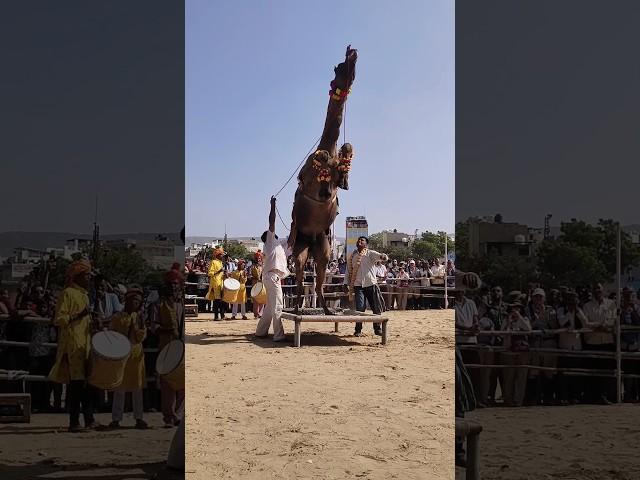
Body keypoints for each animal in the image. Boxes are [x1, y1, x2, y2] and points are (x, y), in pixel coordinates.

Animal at [288, 45, 358, 316]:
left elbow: (347, 154)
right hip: (300, 244)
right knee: (299, 275)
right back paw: (297, 308)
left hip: (322, 246)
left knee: (318, 276)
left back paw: (327, 310)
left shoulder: (338, 178)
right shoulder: (308, 176)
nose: (353, 54)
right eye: (339, 68)